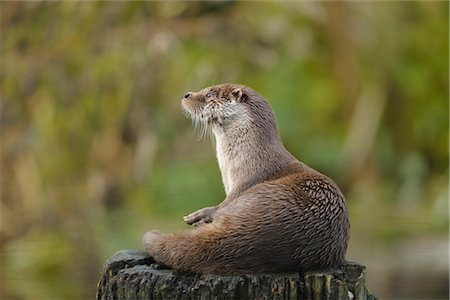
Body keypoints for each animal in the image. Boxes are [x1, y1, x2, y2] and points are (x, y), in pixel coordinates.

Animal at [142, 83, 350, 274]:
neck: (251, 158)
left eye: (209, 94)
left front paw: (199, 214)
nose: (186, 94)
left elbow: (220, 205)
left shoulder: (246, 182)